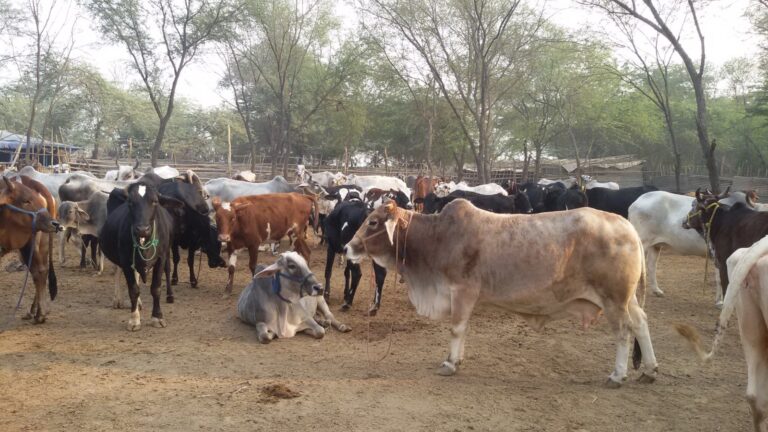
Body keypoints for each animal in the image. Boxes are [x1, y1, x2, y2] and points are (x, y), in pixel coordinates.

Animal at [0, 176, 60, 323]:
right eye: (26, 200)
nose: (55, 224)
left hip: (29, 246)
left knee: (38, 271)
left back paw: (39, 313)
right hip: (41, 244)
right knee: (41, 271)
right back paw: (38, 311)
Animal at [99, 181, 182, 330]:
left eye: (155, 201)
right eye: (130, 202)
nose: (142, 229)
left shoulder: (161, 258)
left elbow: (156, 288)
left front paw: (157, 317)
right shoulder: (126, 260)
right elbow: (133, 290)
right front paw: (134, 320)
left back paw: (139, 303)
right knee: (117, 272)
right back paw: (118, 300)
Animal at [344, 200, 658, 385]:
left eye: (373, 221)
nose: (347, 247)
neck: (437, 238)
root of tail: (627, 226)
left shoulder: (462, 291)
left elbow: (456, 329)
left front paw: (450, 363)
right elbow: (464, 330)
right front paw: (458, 359)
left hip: (614, 299)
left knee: (623, 332)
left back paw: (618, 374)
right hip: (626, 299)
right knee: (641, 323)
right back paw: (650, 370)